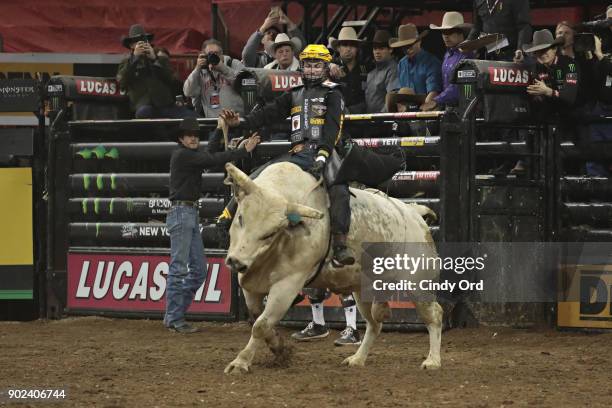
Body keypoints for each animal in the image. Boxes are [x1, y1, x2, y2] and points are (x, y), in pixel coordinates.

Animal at [222, 161, 442, 374]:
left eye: (269, 233)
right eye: (240, 218)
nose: (236, 262)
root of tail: (414, 213)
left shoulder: (288, 285)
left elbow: (261, 324)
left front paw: (240, 363)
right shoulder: (251, 282)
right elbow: (258, 317)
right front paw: (279, 348)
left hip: (417, 284)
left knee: (434, 316)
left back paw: (432, 360)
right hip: (363, 290)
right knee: (374, 324)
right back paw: (357, 359)